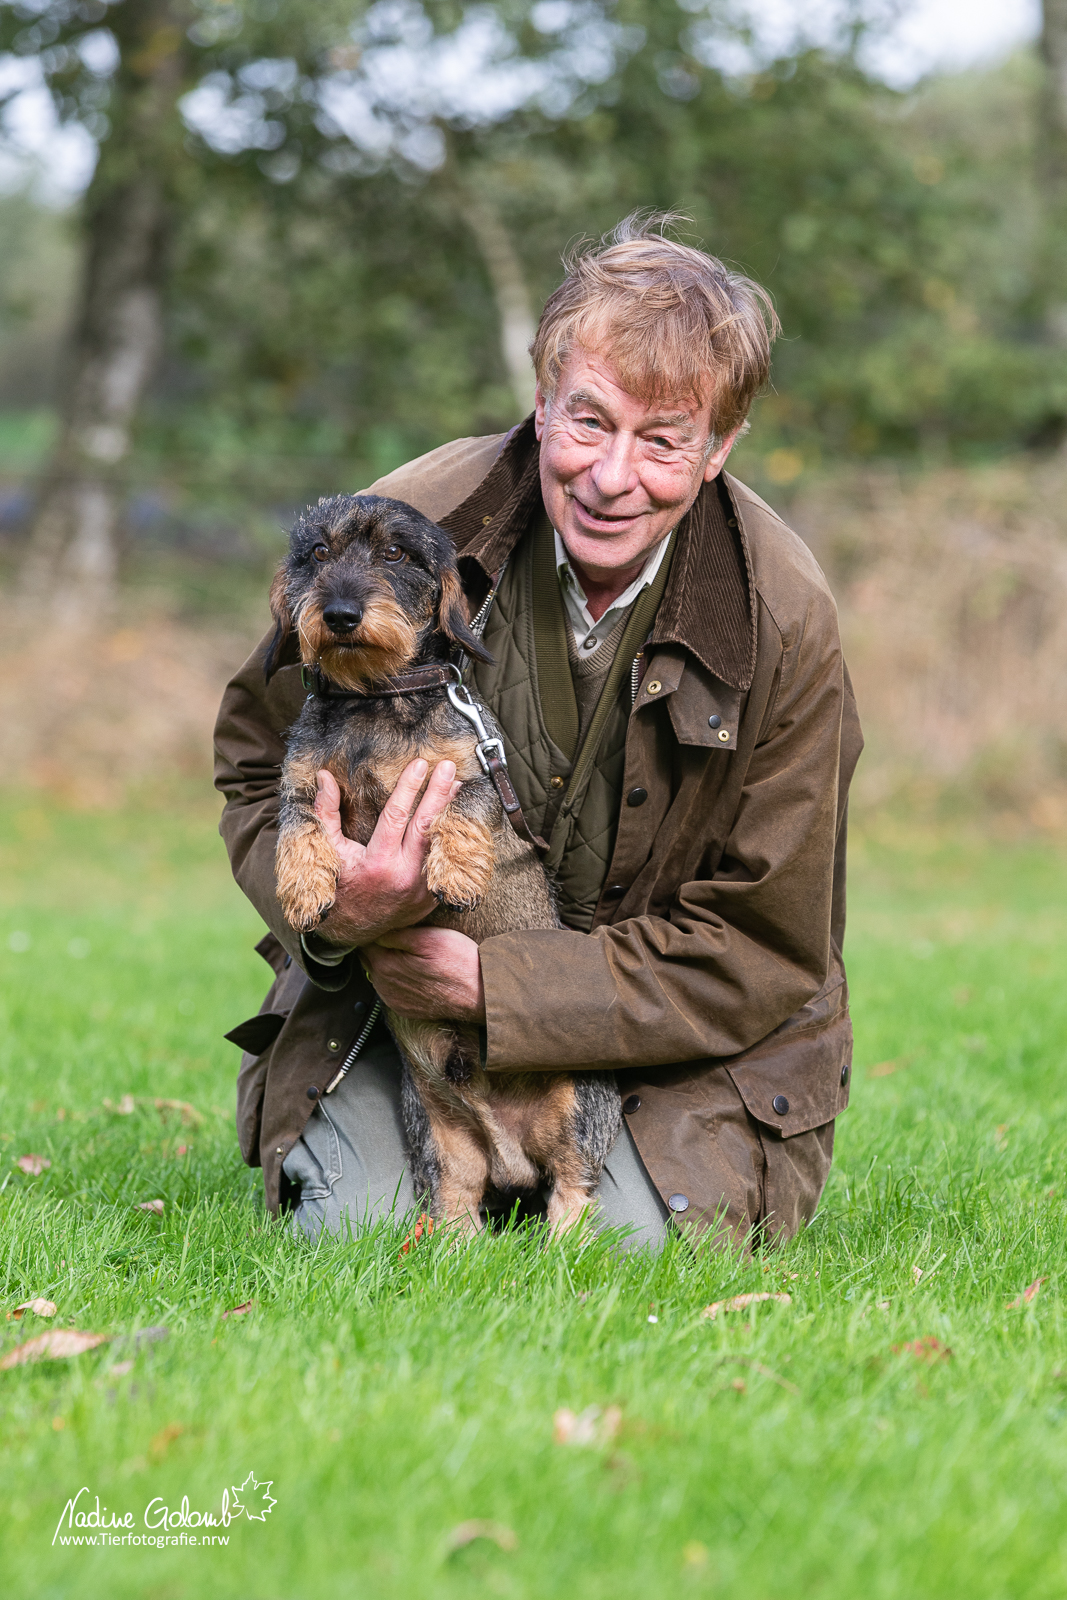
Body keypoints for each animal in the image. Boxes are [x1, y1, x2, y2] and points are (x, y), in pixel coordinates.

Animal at [262, 492, 620, 1228]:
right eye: (318, 553)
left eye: (396, 554)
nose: (340, 614)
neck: (371, 699)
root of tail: (511, 1153)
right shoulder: (302, 782)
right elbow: (297, 825)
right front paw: (304, 890)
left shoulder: (471, 766)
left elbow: (463, 805)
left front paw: (453, 872)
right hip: (437, 1130)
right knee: (456, 1200)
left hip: (577, 1108)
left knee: (572, 1194)